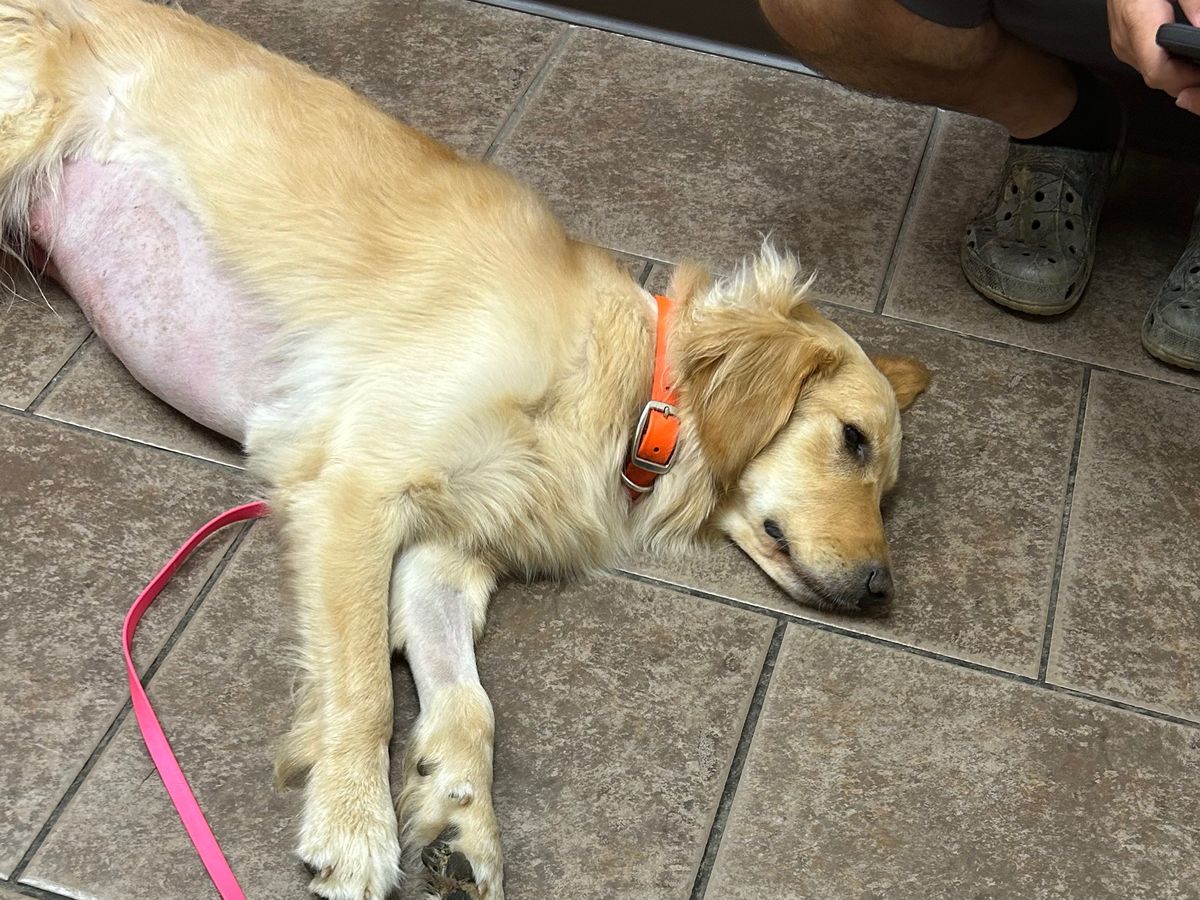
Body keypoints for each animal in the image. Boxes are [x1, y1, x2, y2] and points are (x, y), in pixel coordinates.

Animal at [0, 1, 929, 897]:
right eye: (851, 441)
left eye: (884, 487)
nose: (880, 590)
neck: (631, 391)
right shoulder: (354, 490)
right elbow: (366, 688)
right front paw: (354, 824)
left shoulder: (443, 556)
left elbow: (468, 705)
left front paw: (459, 817)